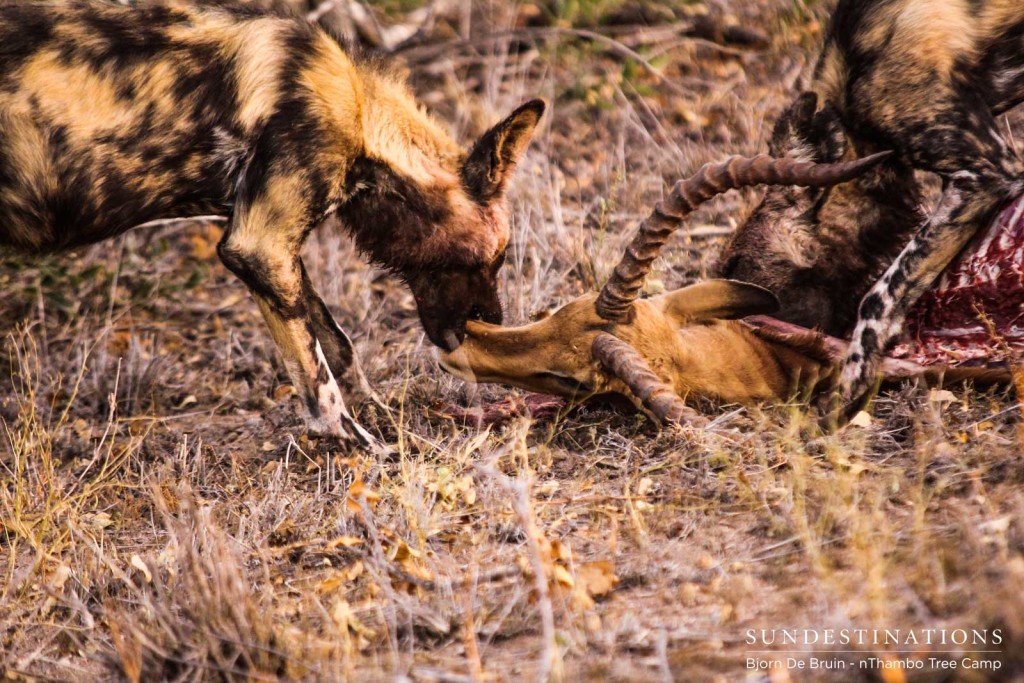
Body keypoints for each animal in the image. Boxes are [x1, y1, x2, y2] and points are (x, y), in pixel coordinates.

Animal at [0, 2, 544, 450]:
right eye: (494, 258)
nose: (495, 324)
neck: (361, 118)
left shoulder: (274, 249)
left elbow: (337, 344)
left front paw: (378, 412)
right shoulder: (257, 246)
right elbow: (318, 381)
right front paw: (363, 447)